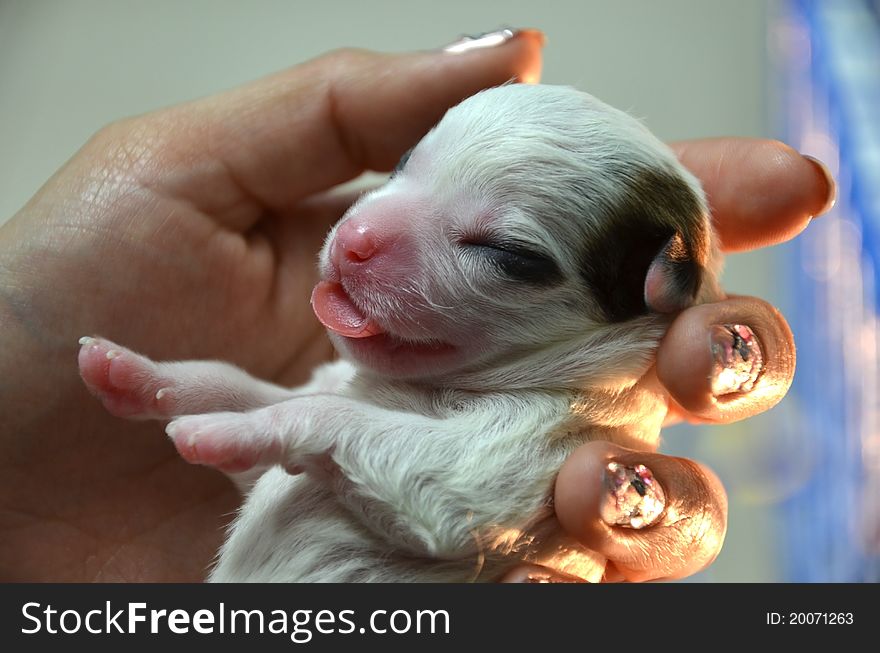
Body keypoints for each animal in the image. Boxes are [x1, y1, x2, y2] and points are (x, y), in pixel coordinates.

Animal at [77, 83, 720, 580]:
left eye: (508, 255)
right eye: (403, 160)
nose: (353, 240)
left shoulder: (534, 447)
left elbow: (336, 421)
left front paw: (220, 431)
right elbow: (248, 391)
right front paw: (137, 374)